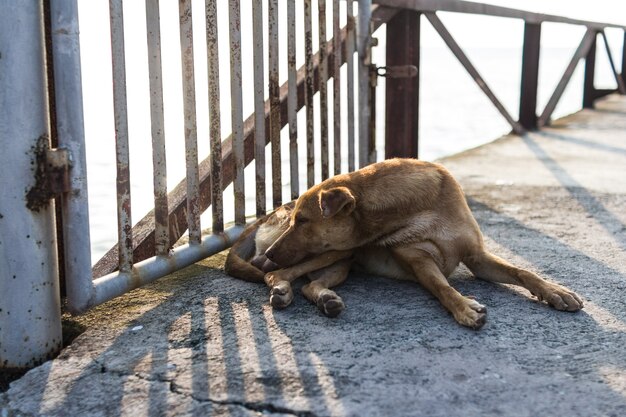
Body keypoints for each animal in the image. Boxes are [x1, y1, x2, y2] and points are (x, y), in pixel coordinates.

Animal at [224, 158, 580, 326]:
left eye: (304, 221)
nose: (270, 253)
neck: (418, 207)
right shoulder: (419, 259)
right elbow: (442, 287)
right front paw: (464, 307)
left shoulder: (477, 256)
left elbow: (524, 272)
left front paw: (556, 291)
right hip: (336, 252)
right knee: (278, 276)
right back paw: (281, 288)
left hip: (341, 260)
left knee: (310, 285)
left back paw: (326, 299)